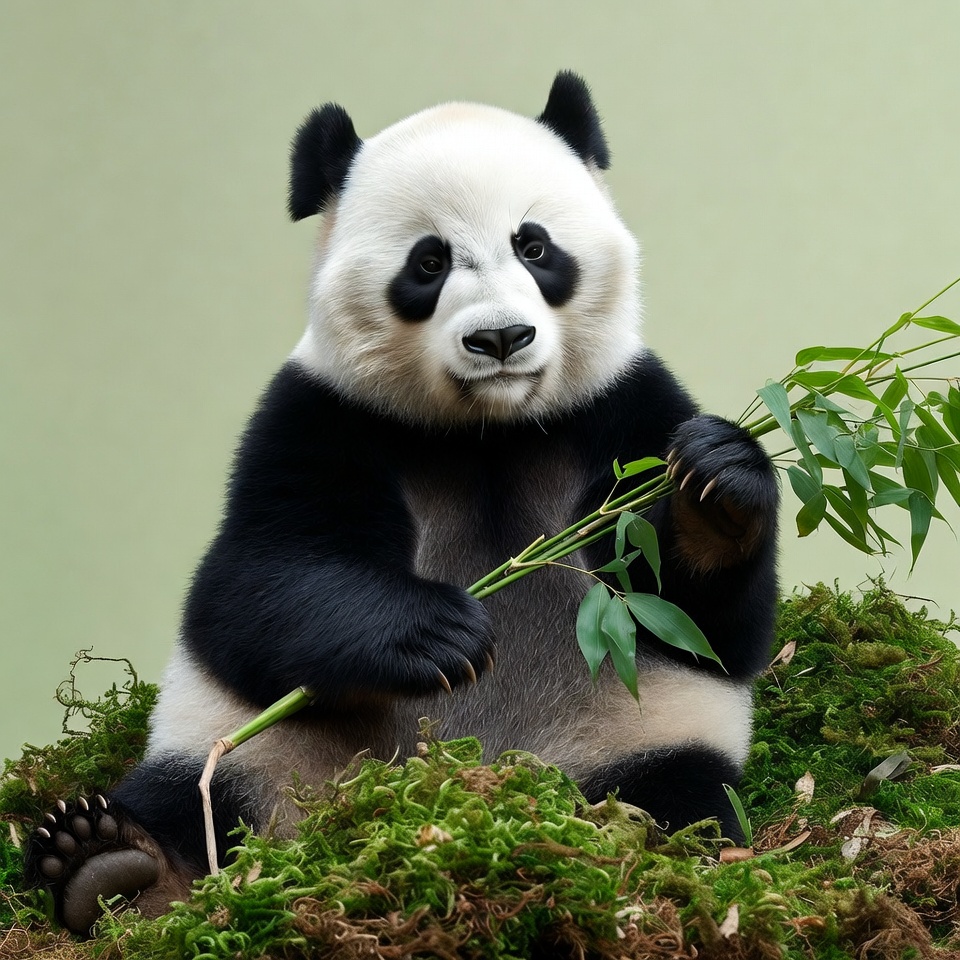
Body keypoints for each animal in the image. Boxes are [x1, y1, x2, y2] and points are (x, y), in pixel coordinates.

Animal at [28, 71, 779, 934]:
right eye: (429, 261)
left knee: (679, 795)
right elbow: (254, 583)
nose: (501, 339)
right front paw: (437, 633)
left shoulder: (624, 408)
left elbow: (707, 623)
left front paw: (716, 488)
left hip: (628, 738)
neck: (488, 430)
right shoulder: (323, 415)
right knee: (194, 798)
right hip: (256, 753)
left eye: (534, 246)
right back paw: (112, 865)